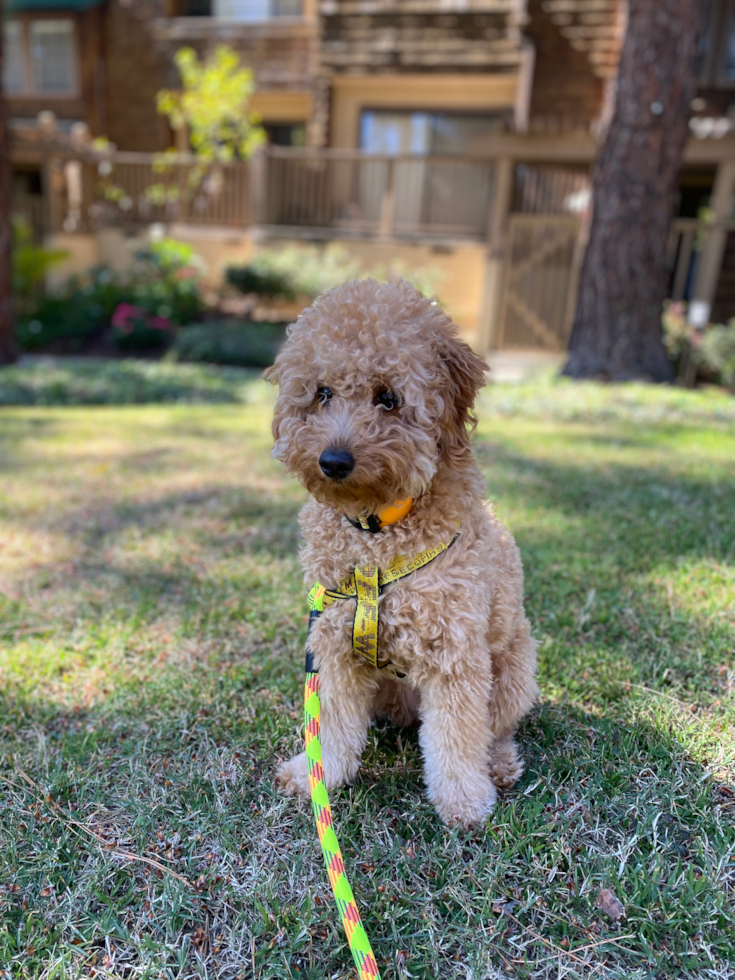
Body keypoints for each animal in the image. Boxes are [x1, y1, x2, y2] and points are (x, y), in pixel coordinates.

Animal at [268, 278, 536, 828]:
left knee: (495, 729)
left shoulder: (456, 652)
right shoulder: (334, 646)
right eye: (322, 392)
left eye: (387, 397)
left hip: (515, 668)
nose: (333, 461)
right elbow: (334, 727)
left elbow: (457, 736)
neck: (376, 532)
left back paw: (498, 765)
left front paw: (463, 800)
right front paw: (316, 776)